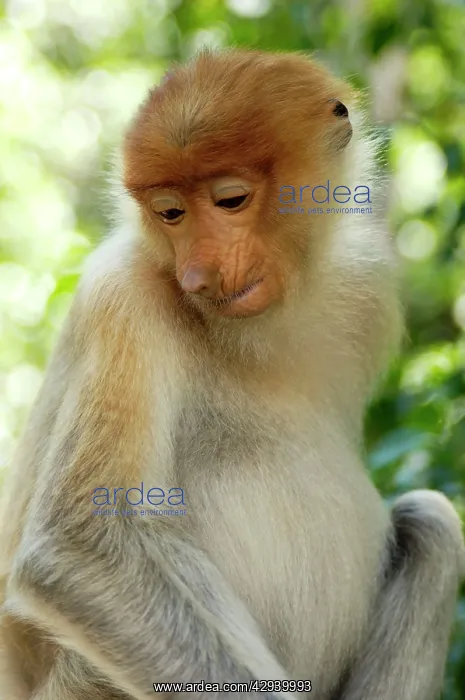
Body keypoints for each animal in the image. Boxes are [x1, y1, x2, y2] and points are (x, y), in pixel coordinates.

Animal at [0, 47, 464, 700]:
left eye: (230, 201)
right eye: (170, 213)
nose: (198, 275)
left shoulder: (366, 288)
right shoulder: (124, 297)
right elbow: (81, 545)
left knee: (431, 525)